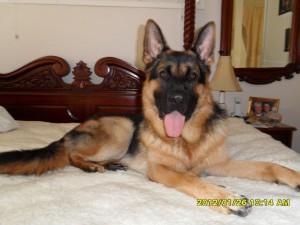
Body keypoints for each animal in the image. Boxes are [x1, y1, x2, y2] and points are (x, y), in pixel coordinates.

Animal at [0, 20, 300, 216]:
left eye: (193, 76)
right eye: (164, 74)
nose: (177, 99)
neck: (187, 141)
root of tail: (71, 131)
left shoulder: (221, 164)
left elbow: (268, 165)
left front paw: (292, 176)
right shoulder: (162, 171)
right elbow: (191, 180)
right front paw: (225, 196)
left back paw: (111, 165)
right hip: (121, 131)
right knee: (73, 154)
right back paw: (92, 166)